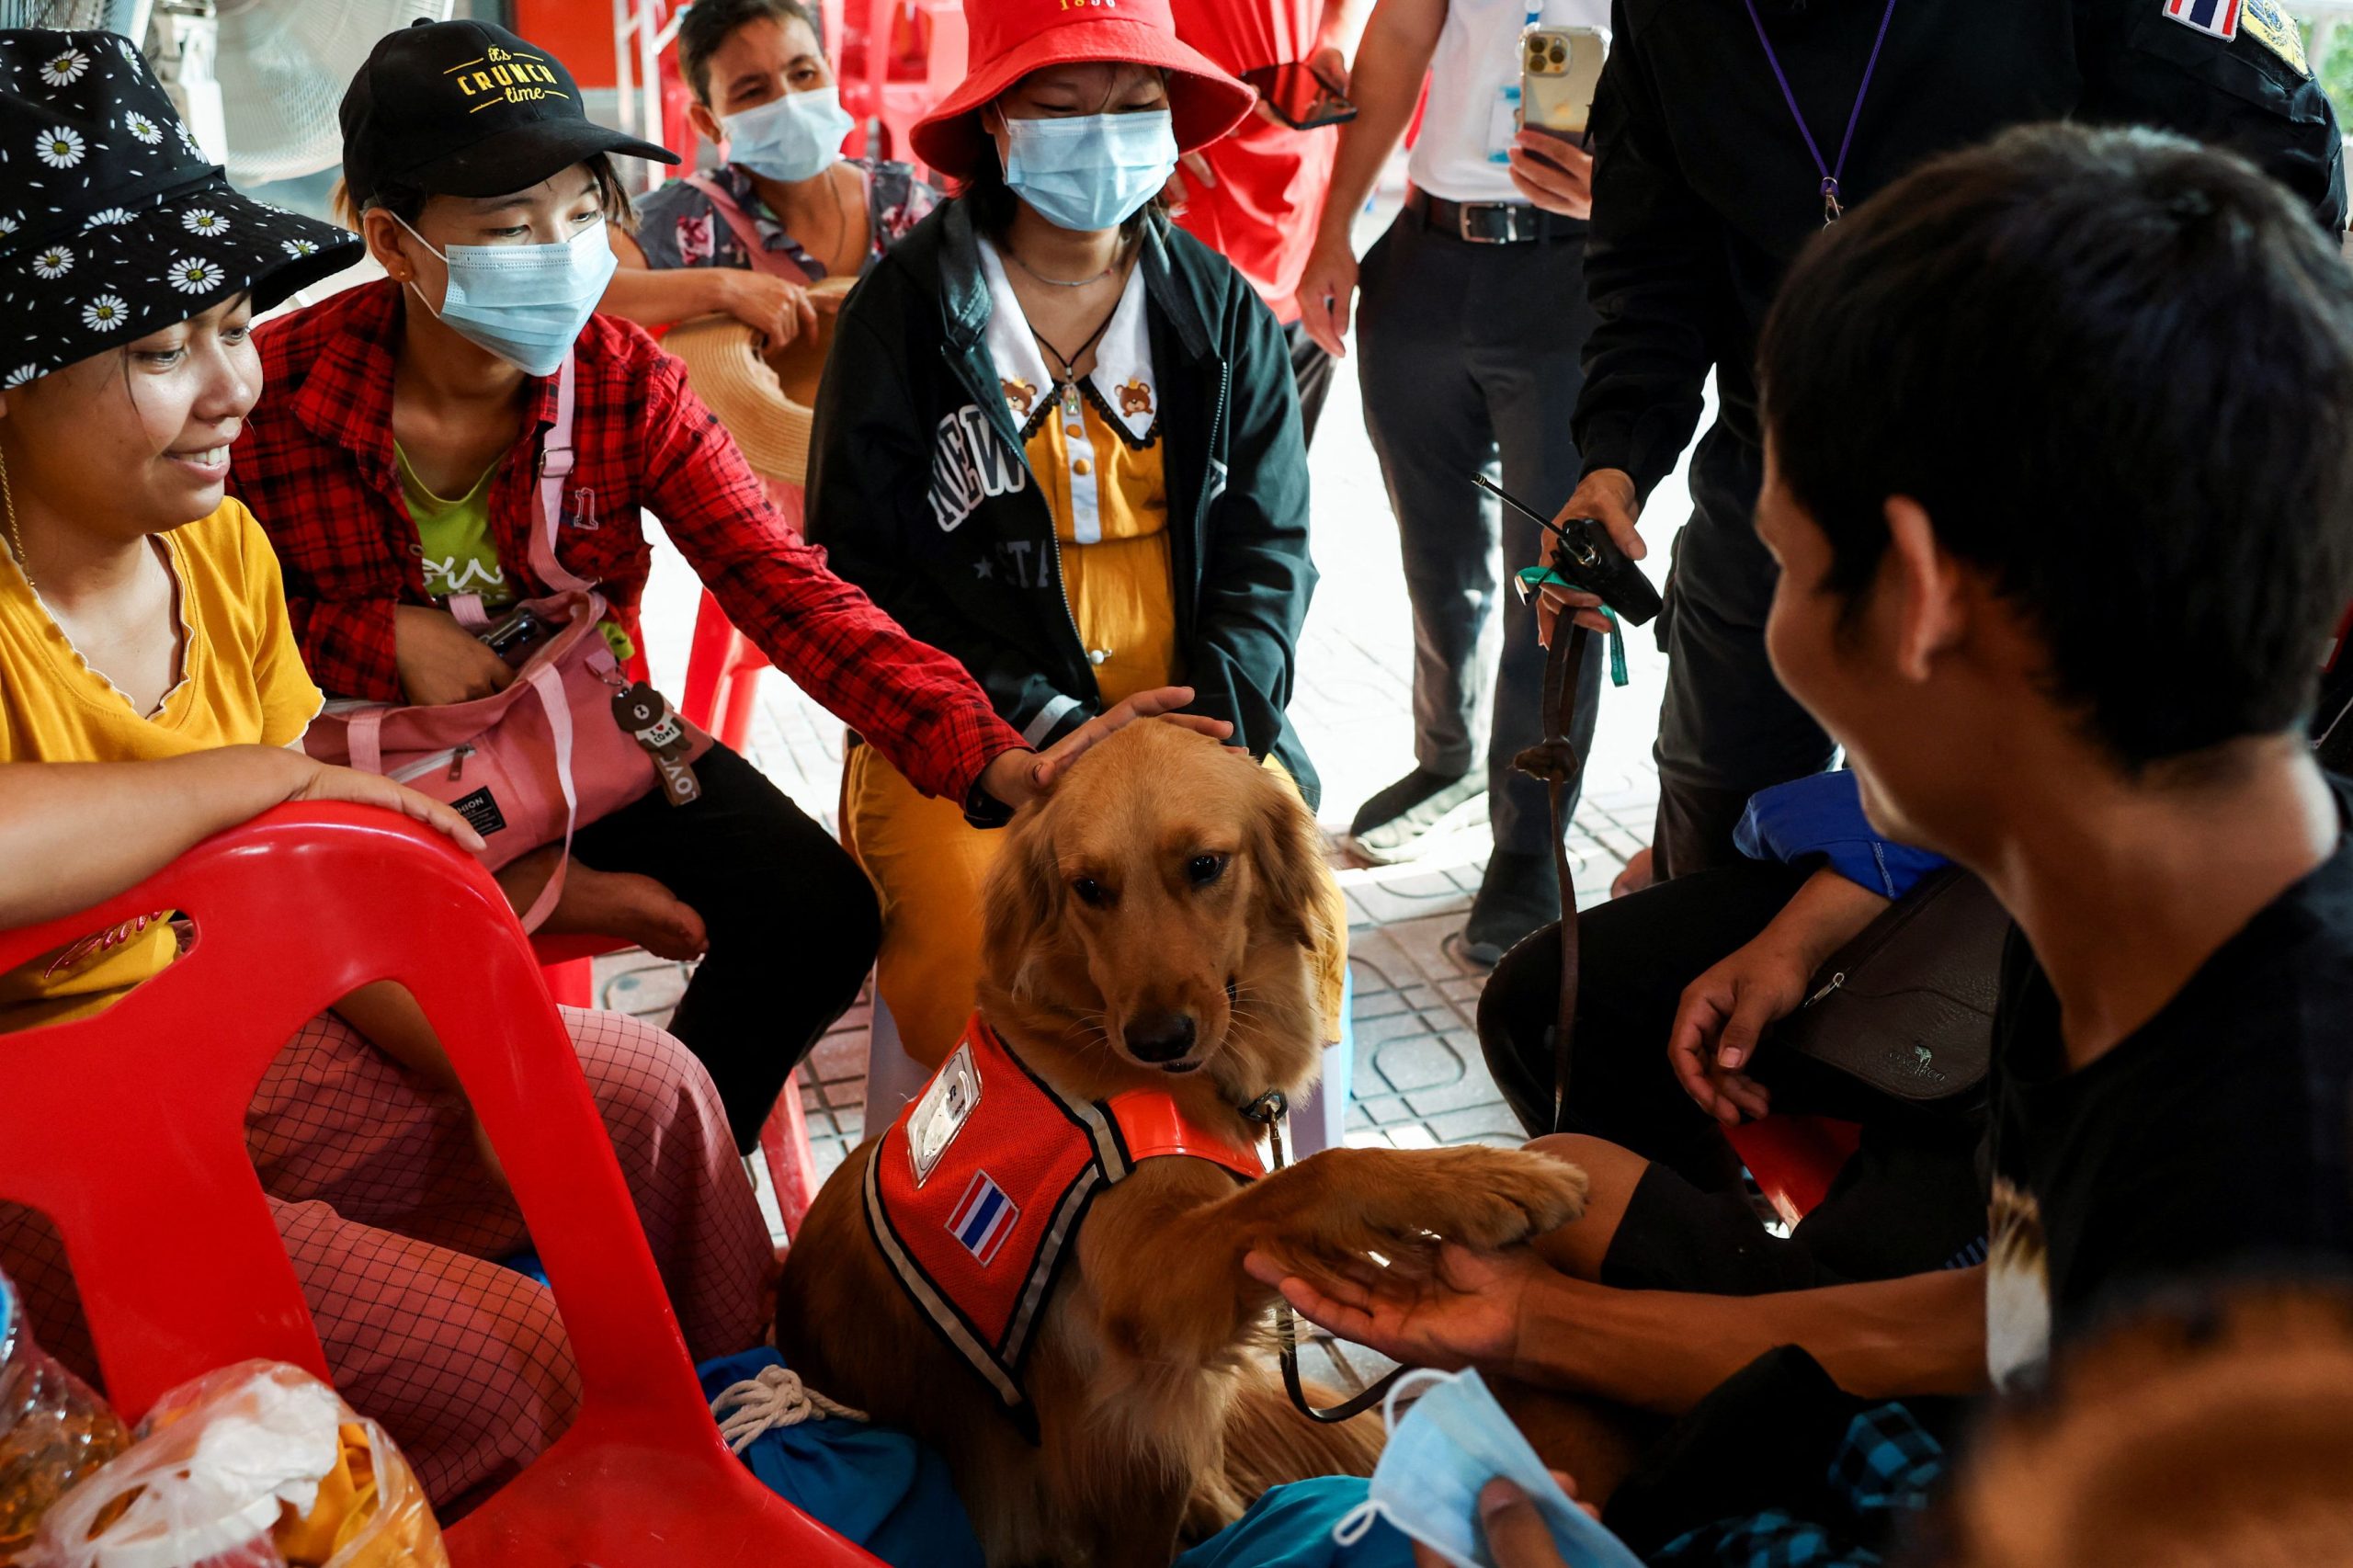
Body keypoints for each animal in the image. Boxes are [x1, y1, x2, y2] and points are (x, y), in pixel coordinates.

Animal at [778, 722, 1588, 1566]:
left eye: (1205, 866)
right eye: (1088, 887)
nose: (1159, 1040)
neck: (1088, 1035)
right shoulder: (1142, 1294)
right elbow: (1315, 1174)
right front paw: (1487, 1179)